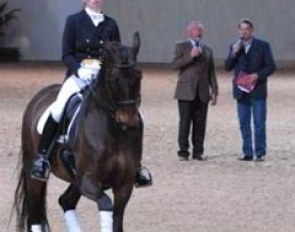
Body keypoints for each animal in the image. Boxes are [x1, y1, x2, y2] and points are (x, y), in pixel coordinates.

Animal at [13, 31, 145, 231]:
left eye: (139, 76)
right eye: (114, 78)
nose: (129, 121)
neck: (113, 133)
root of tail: (40, 96)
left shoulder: (125, 184)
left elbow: (117, 221)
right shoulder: (87, 180)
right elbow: (106, 204)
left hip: (73, 179)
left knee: (66, 201)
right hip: (33, 174)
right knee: (35, 215)